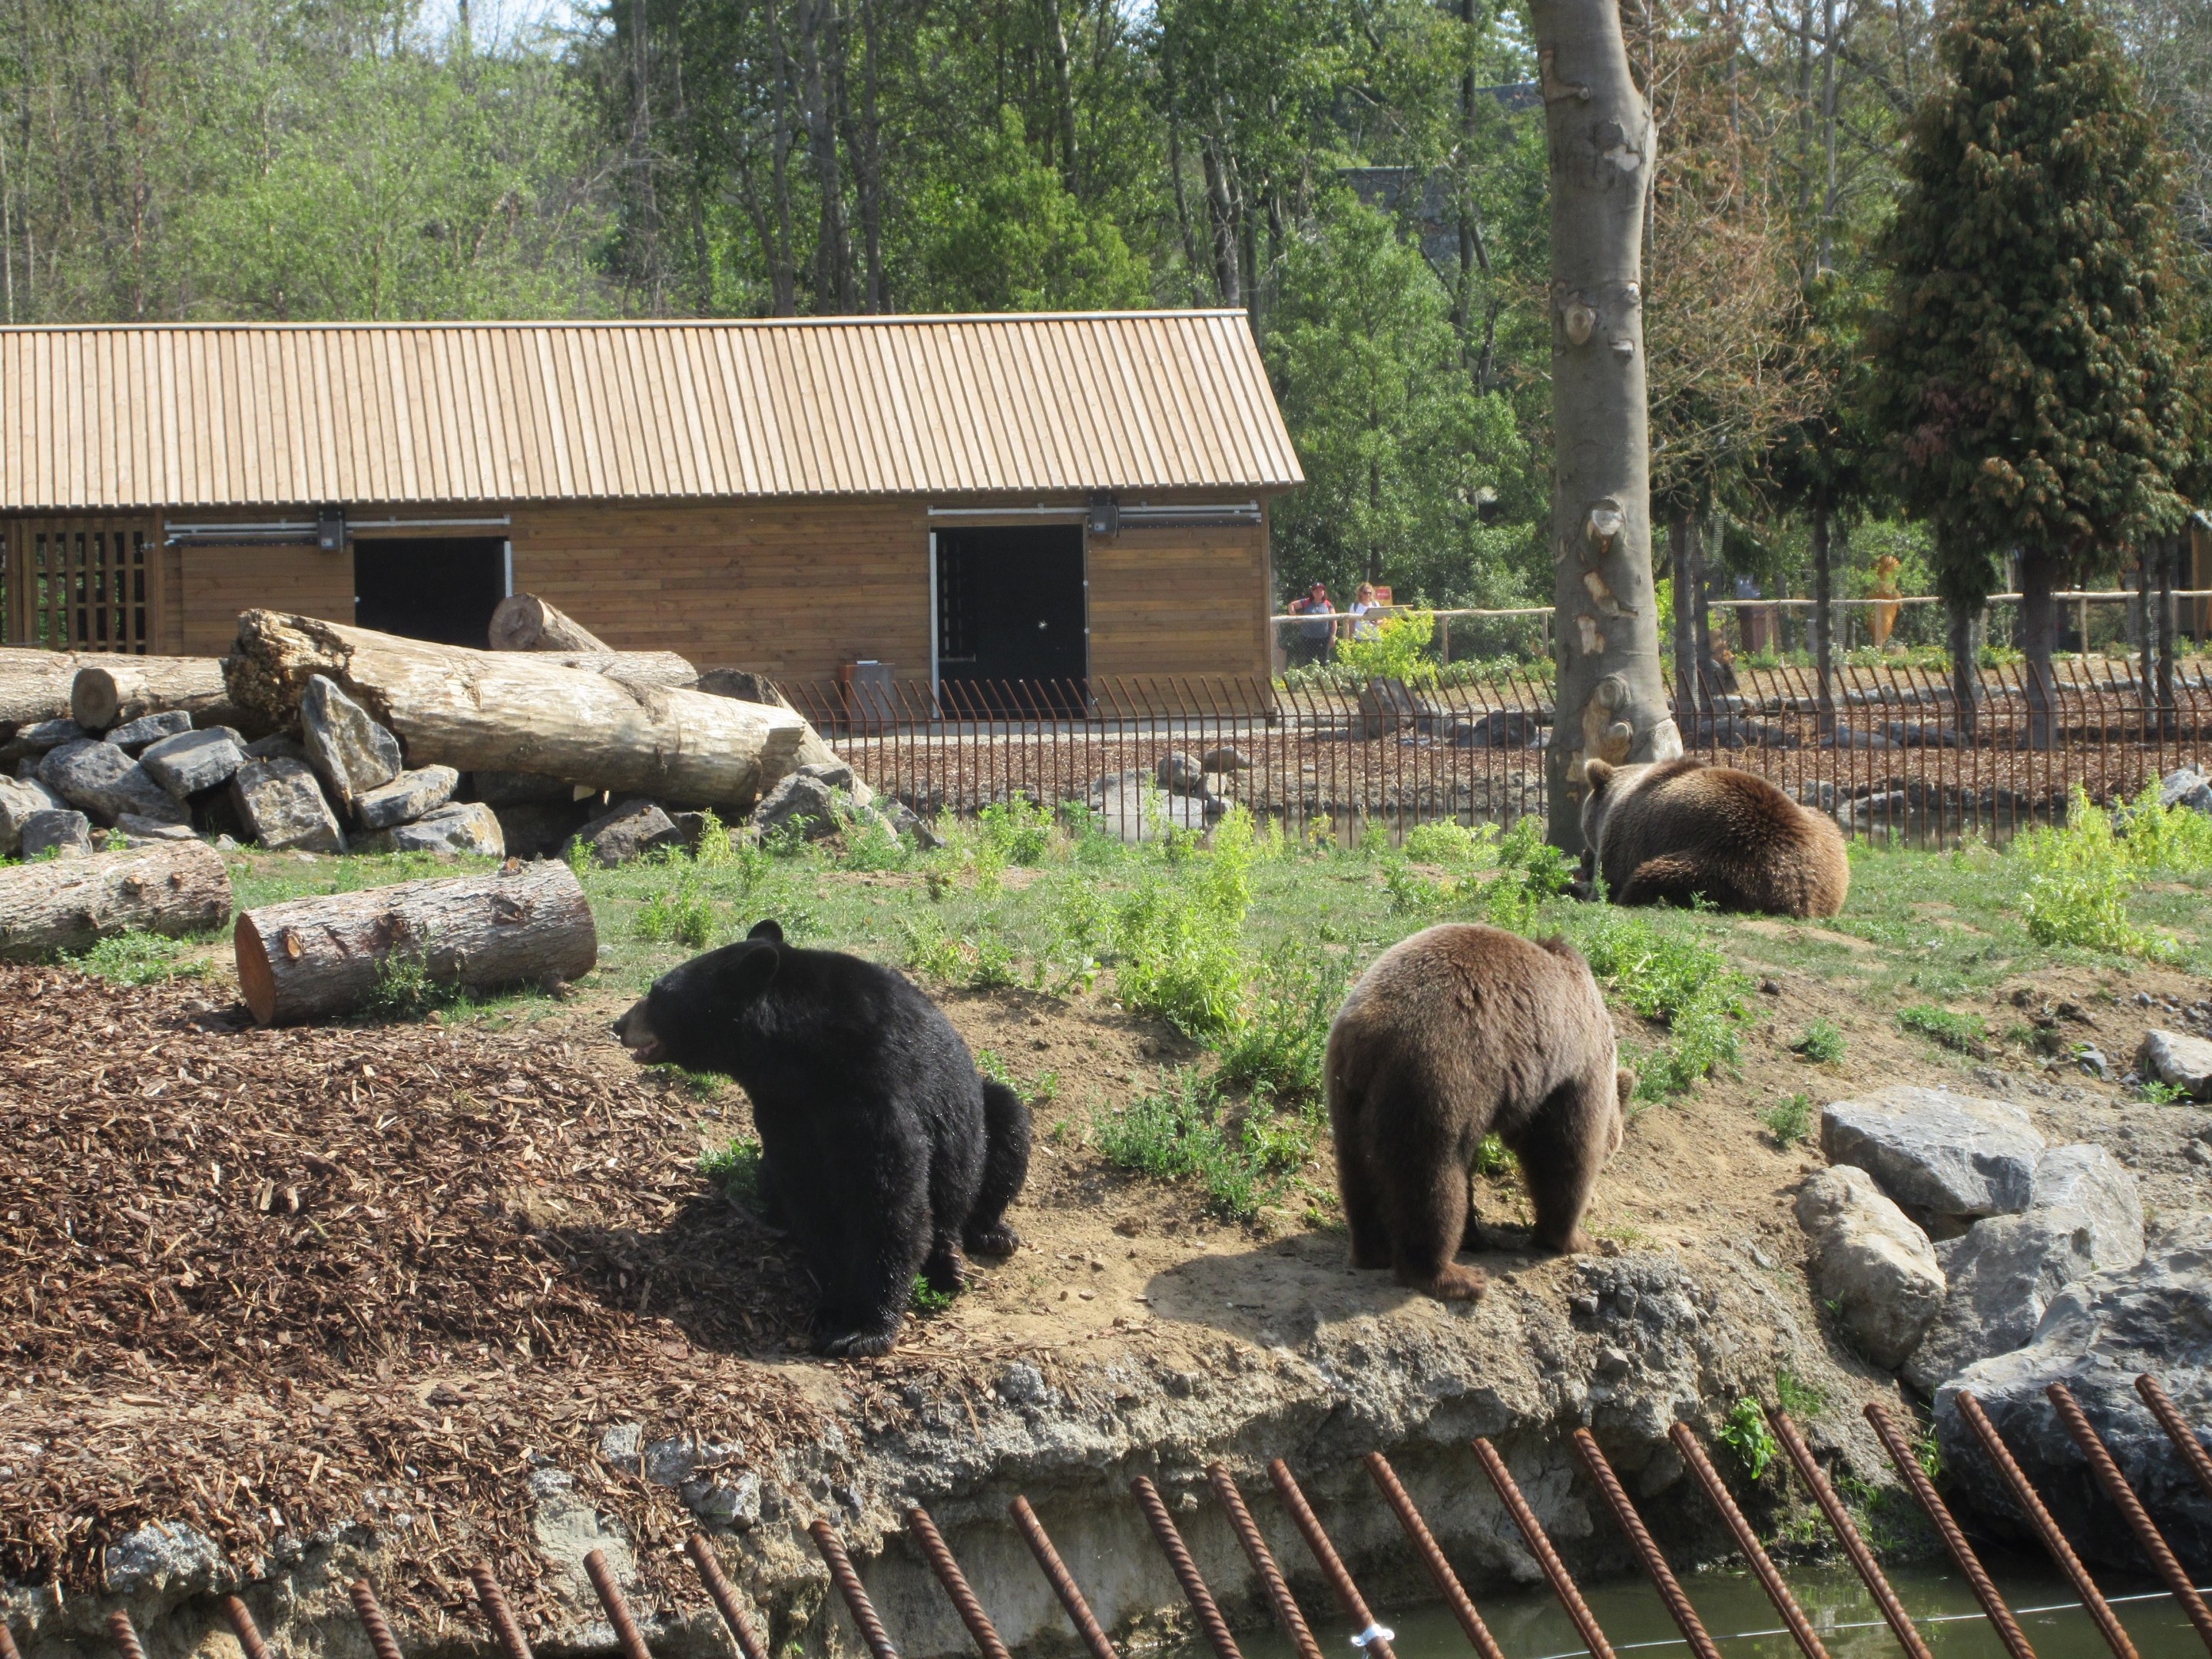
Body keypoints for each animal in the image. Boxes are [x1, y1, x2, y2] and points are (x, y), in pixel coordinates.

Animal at [613, 921, 1030, 1358]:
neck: (800, 1056)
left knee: (1005, 1131)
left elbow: (886, 1198)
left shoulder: (871, 1089)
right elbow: (811, 1194)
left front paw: (863, 1328)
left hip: (983, 1113)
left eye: (657, 993)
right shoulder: (784, 1111)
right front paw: (832, 1303)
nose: (619, 1025)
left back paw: (981, 1239)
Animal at [1325, 923, 1630, 1301]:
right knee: (1432, 1181)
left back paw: (1372, 1253)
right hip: (1439, 1077)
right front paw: (1574, 1238)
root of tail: (1368, 1032)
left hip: (1349, 1095)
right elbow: (1564, 1153)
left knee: (1358, 1170)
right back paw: (1453, 1275)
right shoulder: (1570, 1069)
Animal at [1580, 756, 1848, 918]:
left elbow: (1608, 883)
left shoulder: (1625, 840)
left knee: (1655, 876)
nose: (1583, 857)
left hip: (1732, 861)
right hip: (1826, 834)